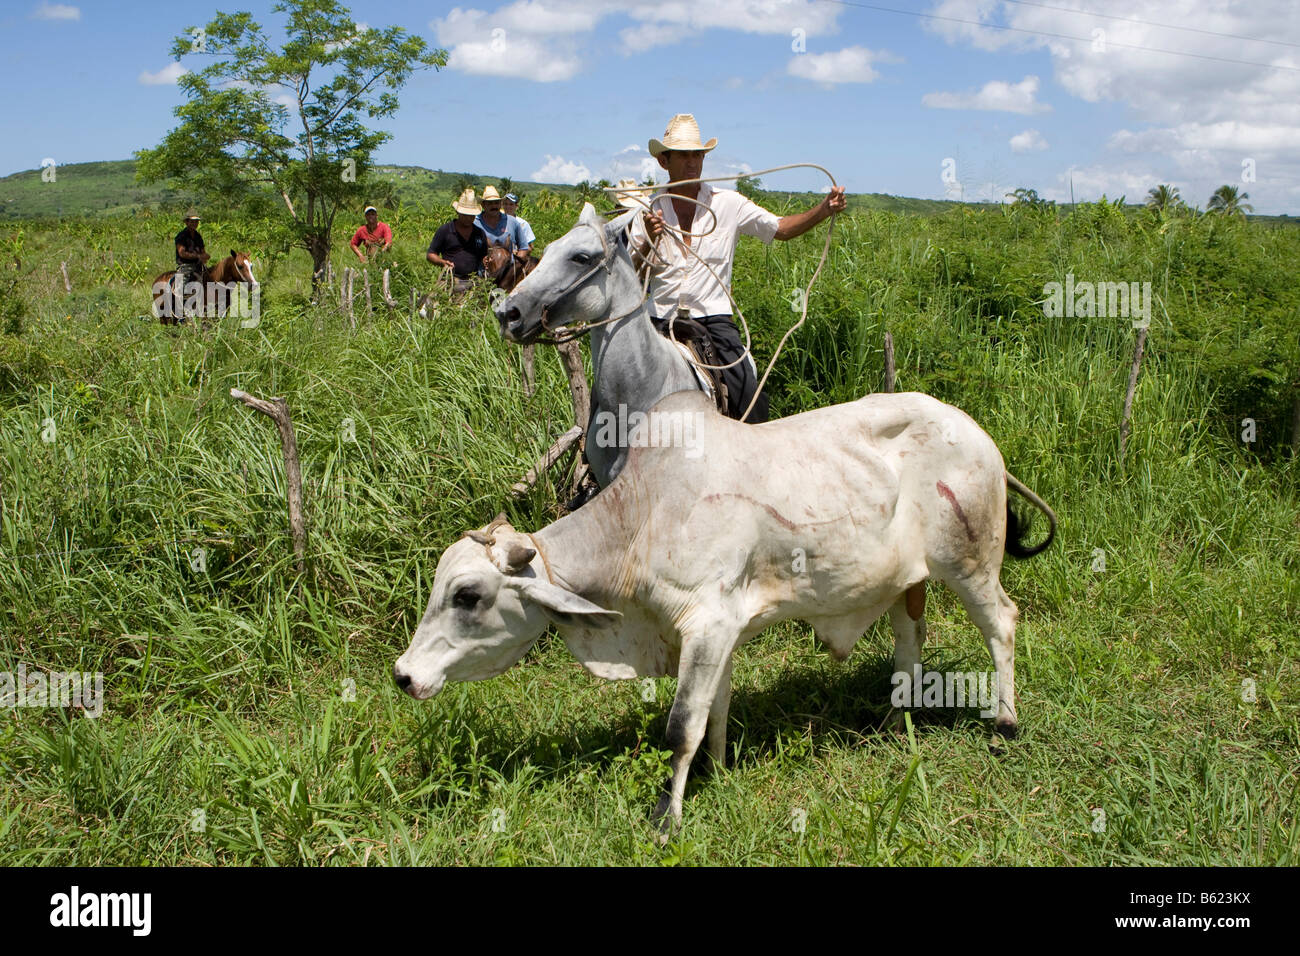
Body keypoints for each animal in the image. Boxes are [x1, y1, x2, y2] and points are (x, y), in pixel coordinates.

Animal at [395, 390, 1055, 832]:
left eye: (467, 595)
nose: (403, 676)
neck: (642, 518)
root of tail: (974, 431)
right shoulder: (722, 632)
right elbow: (715, 710)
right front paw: (717, 769)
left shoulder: (708, 624)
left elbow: (681, 724)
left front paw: (667, 818)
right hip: (904, 582)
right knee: (909, 638)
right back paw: (895, 723)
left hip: (971, 565)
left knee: (1002, 623)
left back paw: (1004, 724)